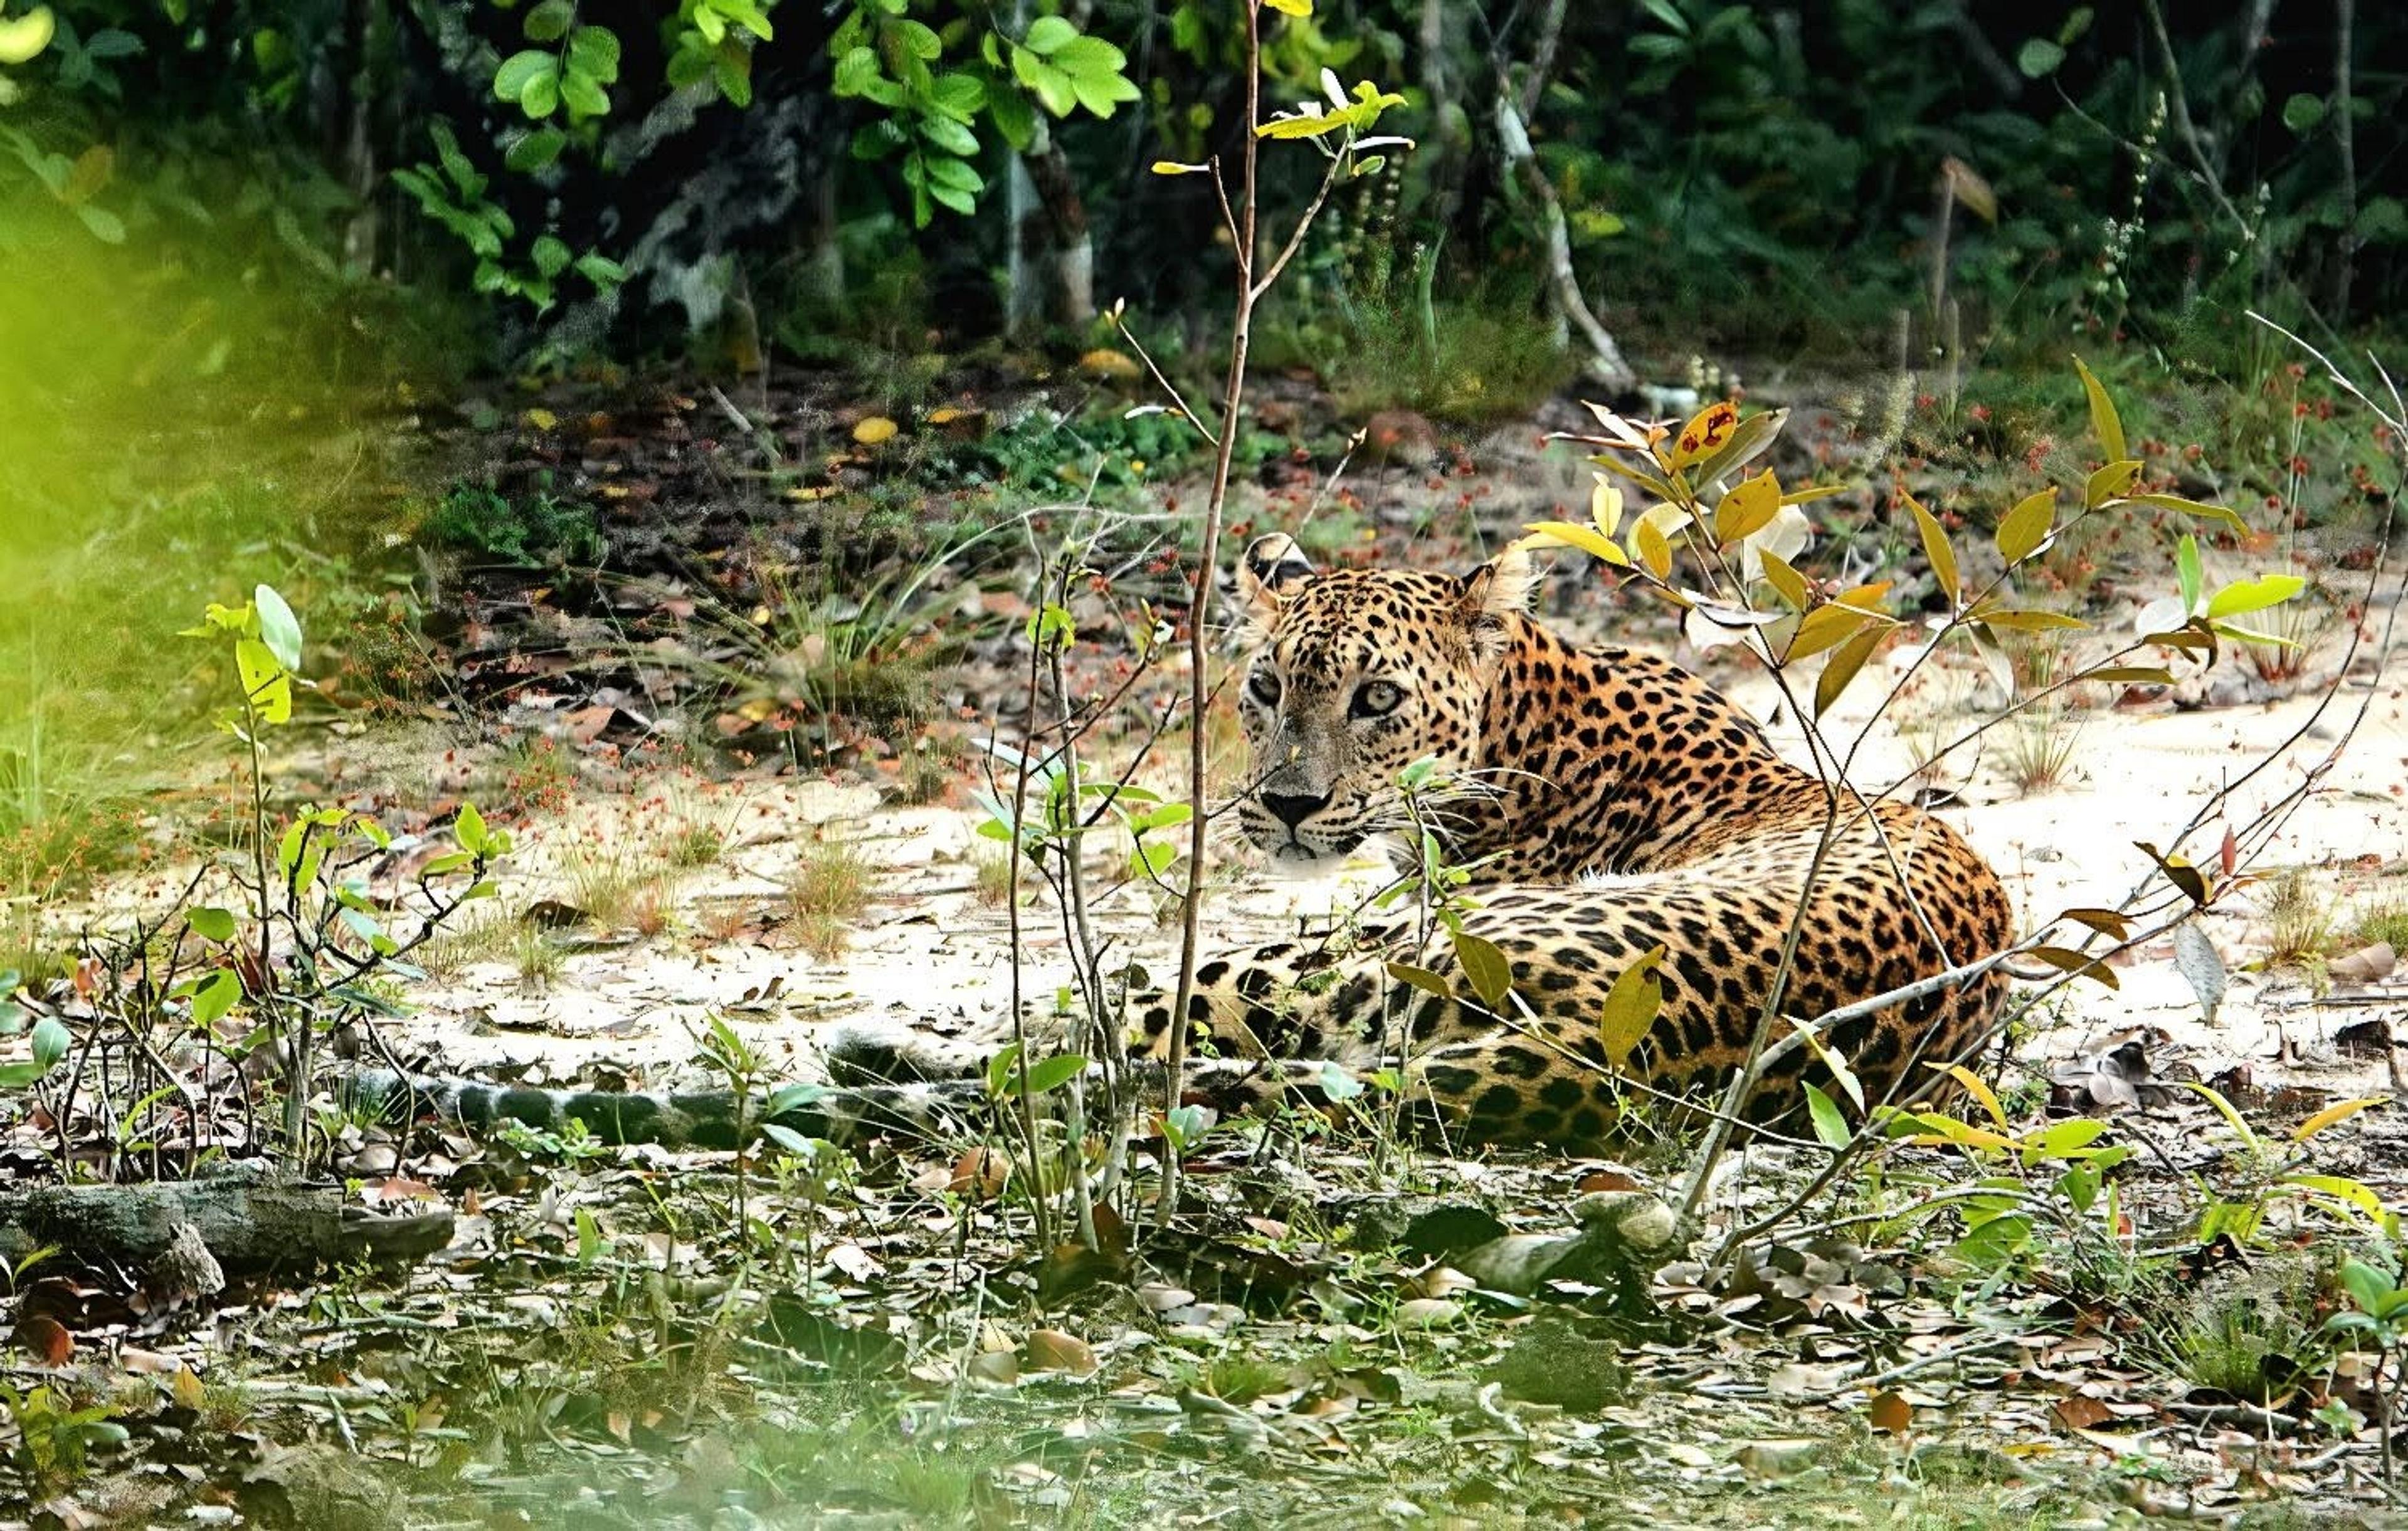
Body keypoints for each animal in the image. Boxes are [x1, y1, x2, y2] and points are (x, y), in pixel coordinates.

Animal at [352, 534, 2017, 1152]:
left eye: (1374, 699)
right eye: (1269, 686)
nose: (1283, 803)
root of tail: (1634, 1046)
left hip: (1339, 962)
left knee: (1089, 1030)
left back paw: (876, 1047)